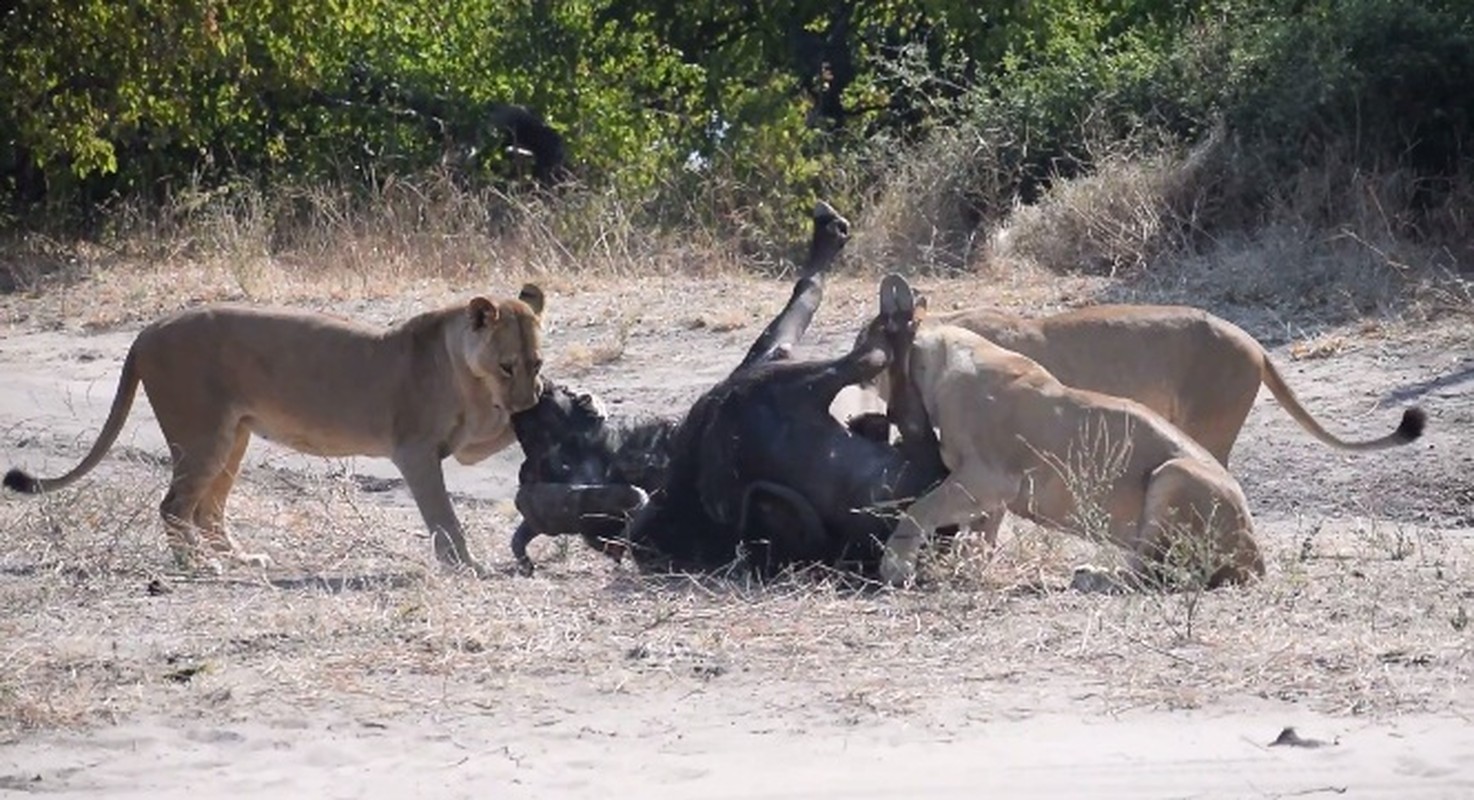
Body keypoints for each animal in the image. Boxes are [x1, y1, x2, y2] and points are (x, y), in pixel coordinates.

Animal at [5, 288, 548, 577]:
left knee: (207, 509)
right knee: (175, 505)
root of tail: (146, 331)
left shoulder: (468, 444)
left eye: (536, 363)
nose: (530, 402)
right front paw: (466, 566)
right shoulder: (415, 450)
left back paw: (243, 559)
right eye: (506, 365)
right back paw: (198, 566)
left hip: (232, 438)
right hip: (202, 436)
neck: (470, 378)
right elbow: (444, 517)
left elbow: (499, 438)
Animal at [872, 278, 1267, 592]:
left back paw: (1093, 577)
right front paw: (966, 568)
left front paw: (897, 565)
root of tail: (1257, 559)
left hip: (1174, 474)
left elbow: (920, 510)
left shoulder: (990, 478)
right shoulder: (987, 491)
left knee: (1154, 575)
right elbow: (979, 533)